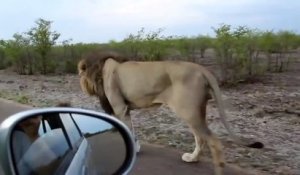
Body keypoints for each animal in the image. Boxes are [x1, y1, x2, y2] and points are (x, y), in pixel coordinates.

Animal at [77, 52, 262, 175]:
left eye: (81, 75)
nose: (82, 87)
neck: (100, 71)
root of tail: (201, 68)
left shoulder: (120, 107)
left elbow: (128, 129)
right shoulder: (125, 109)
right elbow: (132, 130)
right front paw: (135, 147)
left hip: (189, 112)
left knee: (214, 141)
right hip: (195, 111)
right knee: (200, 138)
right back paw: (192, 158)